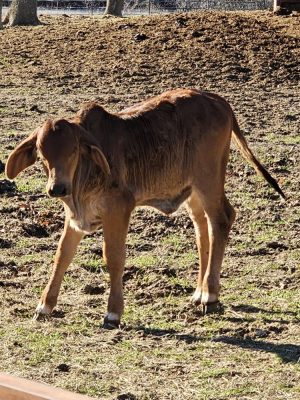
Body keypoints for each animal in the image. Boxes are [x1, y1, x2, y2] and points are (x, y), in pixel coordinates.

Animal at [5, 89, 284, 326]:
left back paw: (210, 295)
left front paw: (113, 312)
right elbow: (62, 255)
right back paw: (199, 290)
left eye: (73, 151)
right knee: (202, 229)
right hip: (194, 191)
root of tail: (217, 100)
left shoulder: (118, 210)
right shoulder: (75, 217)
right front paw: (45, 306)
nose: (57, 188)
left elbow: (114, 258)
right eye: (42, 154)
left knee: (222, 219)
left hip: (209, 180)